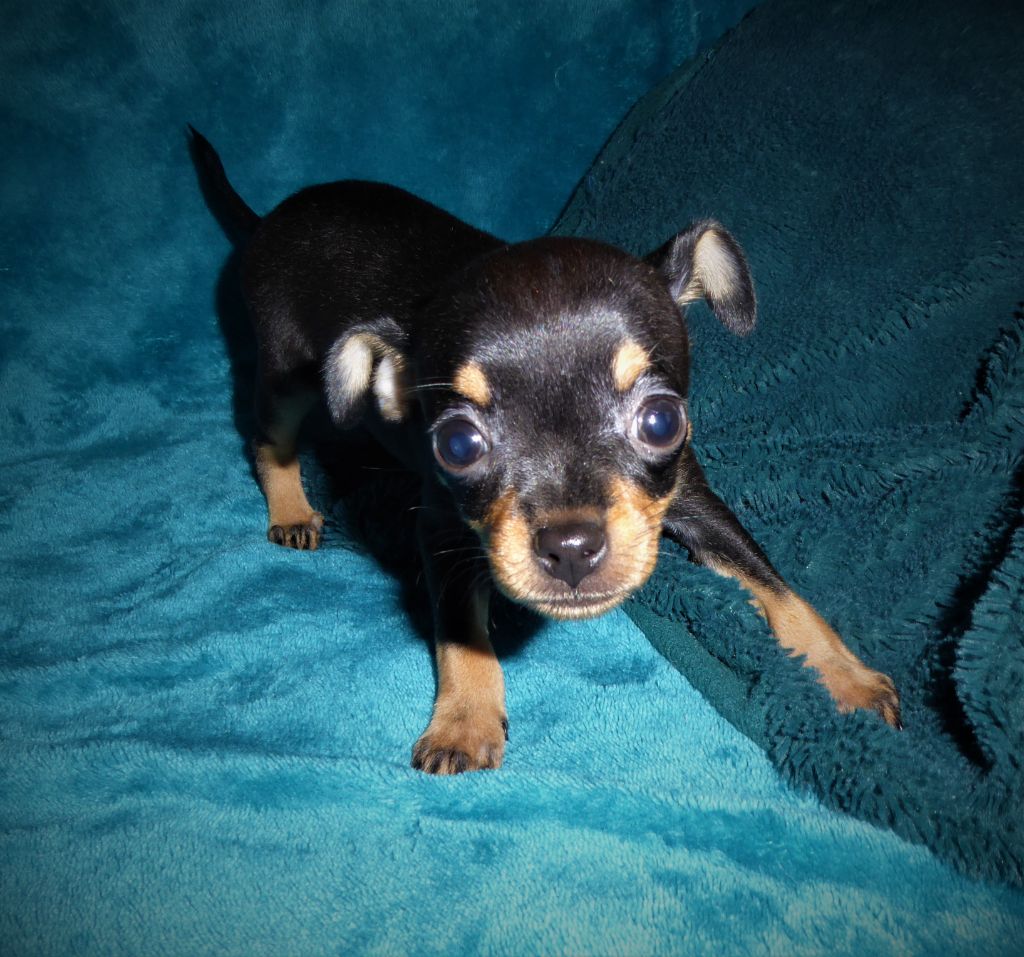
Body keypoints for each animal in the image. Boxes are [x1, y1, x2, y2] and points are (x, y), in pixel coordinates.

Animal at [190, 128, 901, 774]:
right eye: (457, 444)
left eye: (662, 422)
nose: (572, 548)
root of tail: (269, 218)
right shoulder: (443, 530)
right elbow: (461, 632)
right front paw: (464, 721)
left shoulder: (695, 500)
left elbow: (776, 585)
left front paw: (846, 676)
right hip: (286, 373)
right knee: (267, 439)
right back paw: (291, 509)